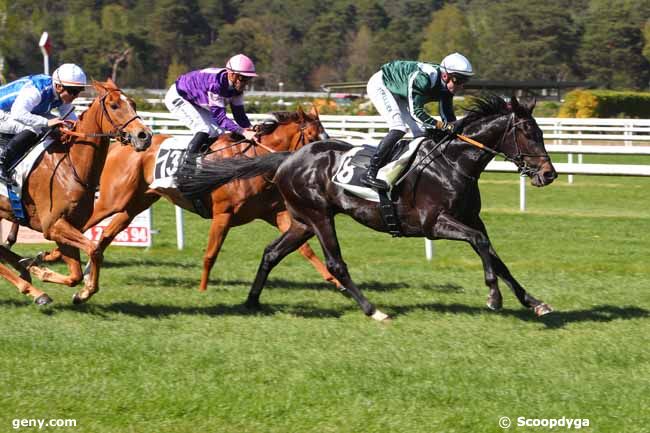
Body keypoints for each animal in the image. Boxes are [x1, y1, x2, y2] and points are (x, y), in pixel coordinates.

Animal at [0, 80, 152, 304]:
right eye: (114, 105)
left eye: (132, 103)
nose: (145, 136)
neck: (71, 166)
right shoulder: (53, 225)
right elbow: (94, 249)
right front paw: (85, 290)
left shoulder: (69, 225)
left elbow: (75, 275)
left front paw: (42, 270)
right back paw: (32, 289)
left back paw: (26, 269)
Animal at [34, 105, 340, 294]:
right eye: (314, 136)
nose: (329, 158)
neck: (251, 162)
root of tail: (124, 143)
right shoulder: (223, 214)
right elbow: (210, 254)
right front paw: (203, 289)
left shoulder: (274, 213)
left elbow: (305, 248)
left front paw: (334, 280)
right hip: (112, 200)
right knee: (79, 226)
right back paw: (52, 255)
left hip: (134, 206)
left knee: (104, 236)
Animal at [176, 97, 556, 320]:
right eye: (528, 132)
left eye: (540, 131)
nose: (549, 174)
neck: (452, 163)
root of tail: (287, 158)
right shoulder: (435, 223)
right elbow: (480, 244)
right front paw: (493, 296)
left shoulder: (469, 218)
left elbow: (495, 254)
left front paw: (534, 301)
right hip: (319, 216)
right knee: (335, 263)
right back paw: (374, 310)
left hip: (301, 221)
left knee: (272, 252)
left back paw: (253, 302)